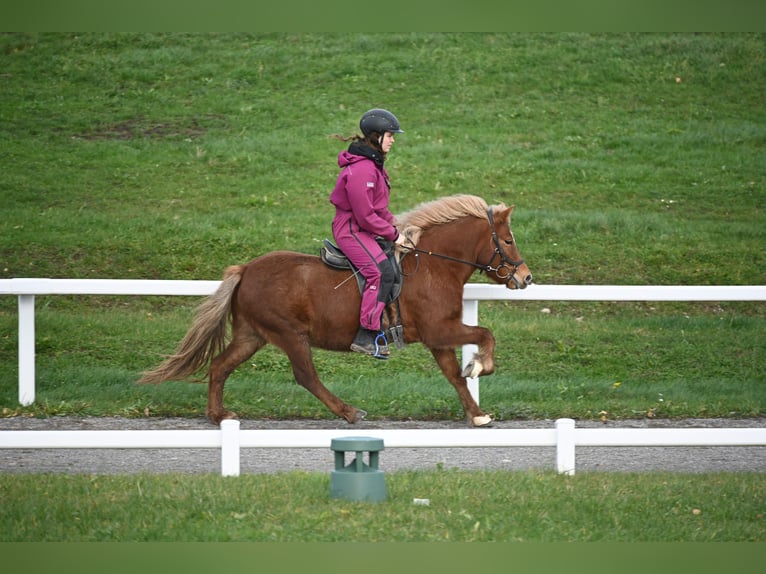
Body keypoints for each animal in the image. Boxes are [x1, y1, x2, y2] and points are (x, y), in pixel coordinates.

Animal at [138, 194, 536, 428]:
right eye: (509, 240)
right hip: (290, 335)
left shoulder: (437, 337)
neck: (434, 264)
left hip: (252, 335)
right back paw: (348, 412)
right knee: (306, 377)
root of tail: (246, 269)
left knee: (220, 366)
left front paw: (477, 413)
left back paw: (218, 415)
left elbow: (454, 376)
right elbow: (485, 336)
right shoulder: (439, 329)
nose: (526, 277)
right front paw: (481, 366)